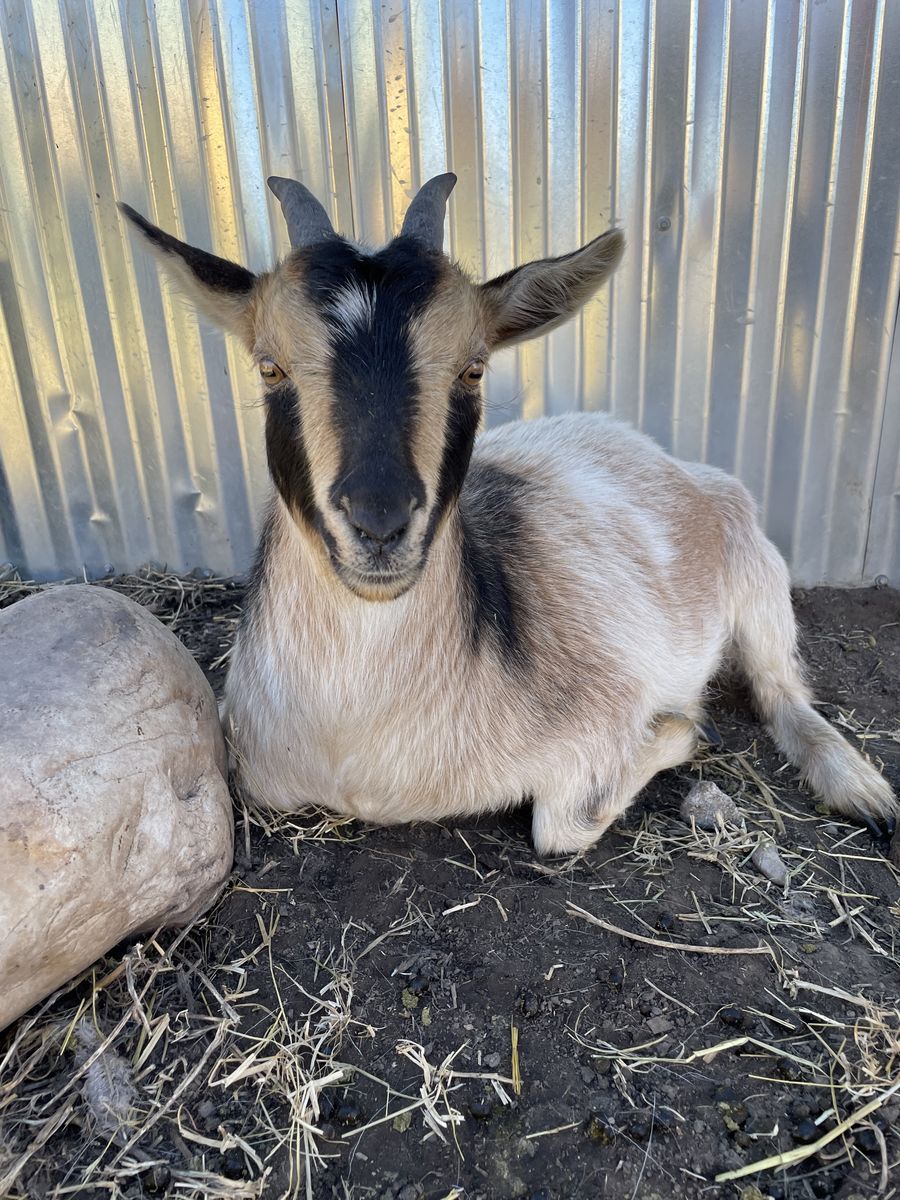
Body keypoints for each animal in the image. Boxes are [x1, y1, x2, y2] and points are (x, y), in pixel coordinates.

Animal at [121, 174, 897, 855]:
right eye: (269, 366)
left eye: (473, 368)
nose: (379, 523)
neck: (358, 743)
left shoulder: (603, 710)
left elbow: (560, 825)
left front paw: (681, 730)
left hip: (757, 579)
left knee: (782, 690)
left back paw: (862, 789)